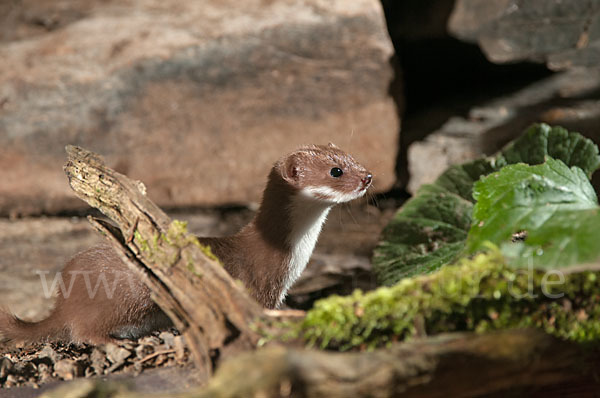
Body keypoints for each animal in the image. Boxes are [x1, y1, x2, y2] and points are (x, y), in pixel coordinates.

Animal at [0, 143, 372, 346]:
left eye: (353, 157)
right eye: (335, 171)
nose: (368, 176)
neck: (291, 258)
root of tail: (63, 299)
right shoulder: (258, 285)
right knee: (80, 330)